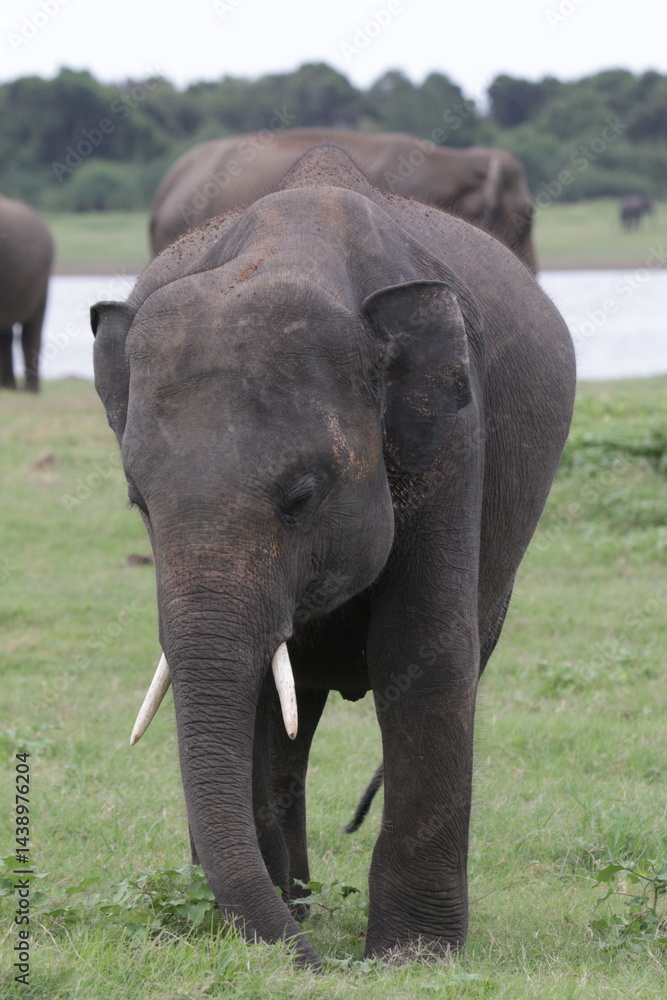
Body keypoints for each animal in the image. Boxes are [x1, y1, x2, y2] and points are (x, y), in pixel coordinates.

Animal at [92, 145, 574, 967]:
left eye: (302, 496)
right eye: (139, 503)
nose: (315, 969)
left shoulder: (452, 437)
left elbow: (422, 649)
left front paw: (412, 957)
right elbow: (257, 690)